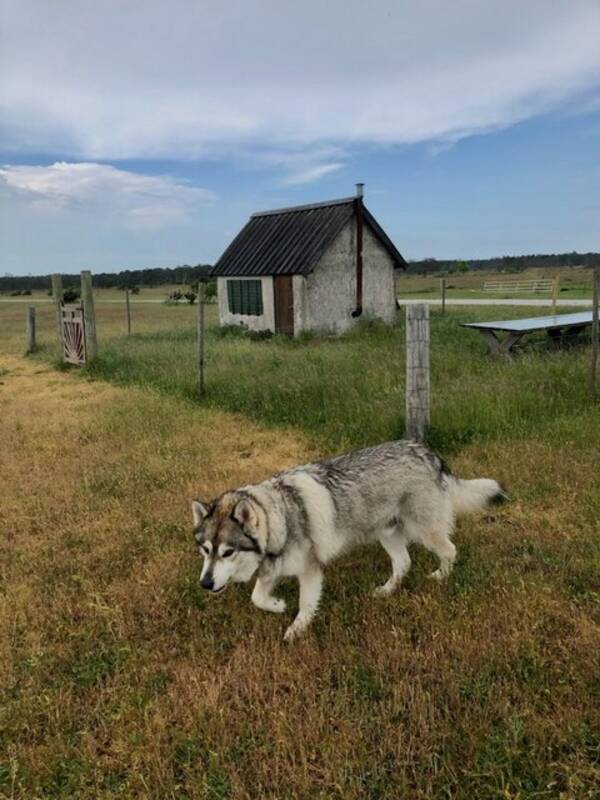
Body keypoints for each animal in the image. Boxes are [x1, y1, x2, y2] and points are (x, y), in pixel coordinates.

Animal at [191, 440, 506, 640]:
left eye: (227, 552)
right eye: (206, 550)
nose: (204, 584)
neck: (280, 516)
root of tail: (426, 451)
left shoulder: (310, 571)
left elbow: (305, 606)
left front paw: (295, 630)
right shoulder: (272, 570)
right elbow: (258, 598)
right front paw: (278, 605)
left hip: (424, 530)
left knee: (449, 550)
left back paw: (442, 577)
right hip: (388, 534)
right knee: (403, 563)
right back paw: (386, 590)